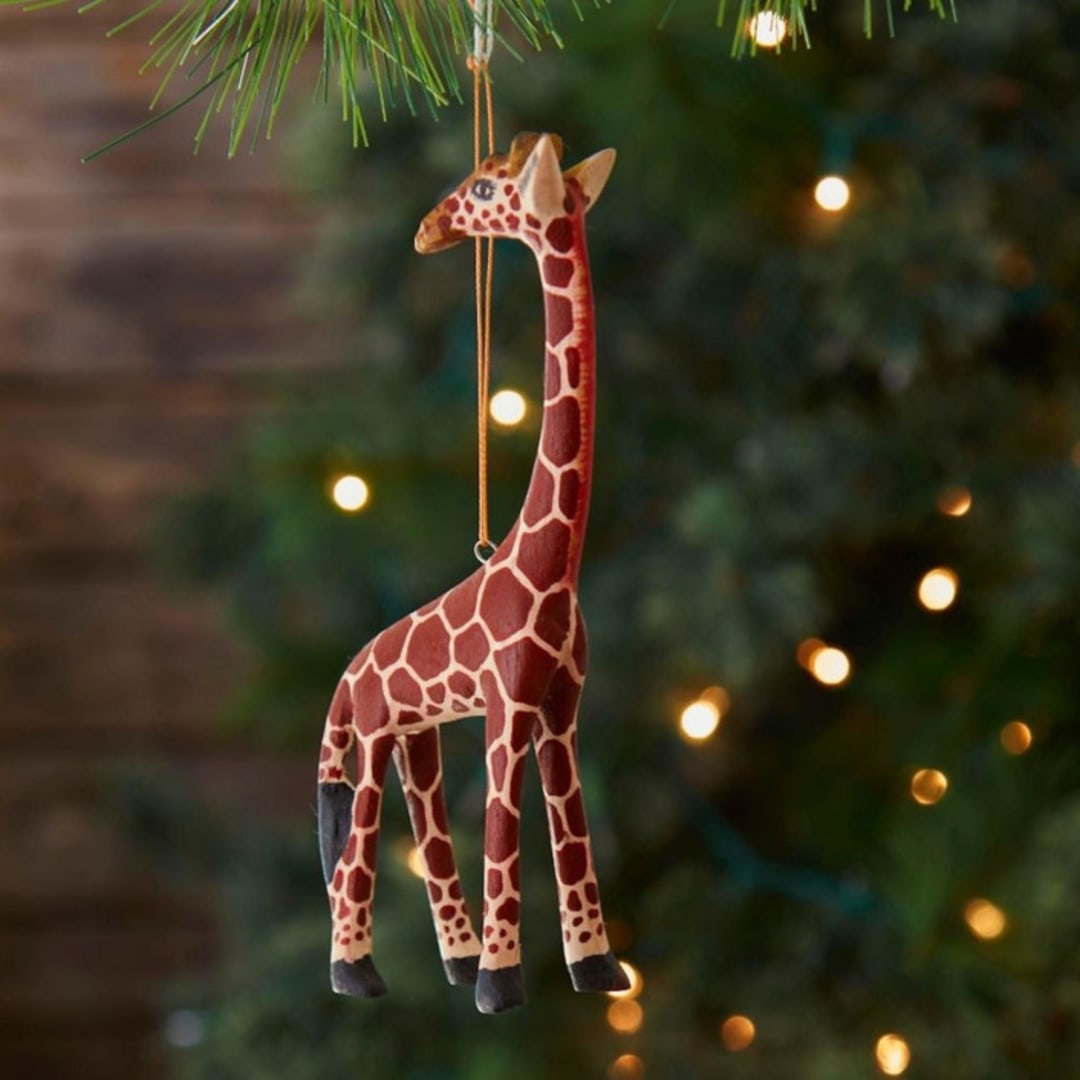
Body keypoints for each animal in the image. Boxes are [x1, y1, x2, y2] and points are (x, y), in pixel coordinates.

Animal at [317, 132, 629, 1014]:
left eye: (489, 188)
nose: (429, 227)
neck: (550, 566)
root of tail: (350, 671)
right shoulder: (504, 704)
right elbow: (501, 828)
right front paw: (502, 983)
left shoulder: (559, 709)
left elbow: (571, 828)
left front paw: (595, 969)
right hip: (375, 730)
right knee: (355, 845)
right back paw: (357, 974)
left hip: (413, 735)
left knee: (420, 826)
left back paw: (451, 961)